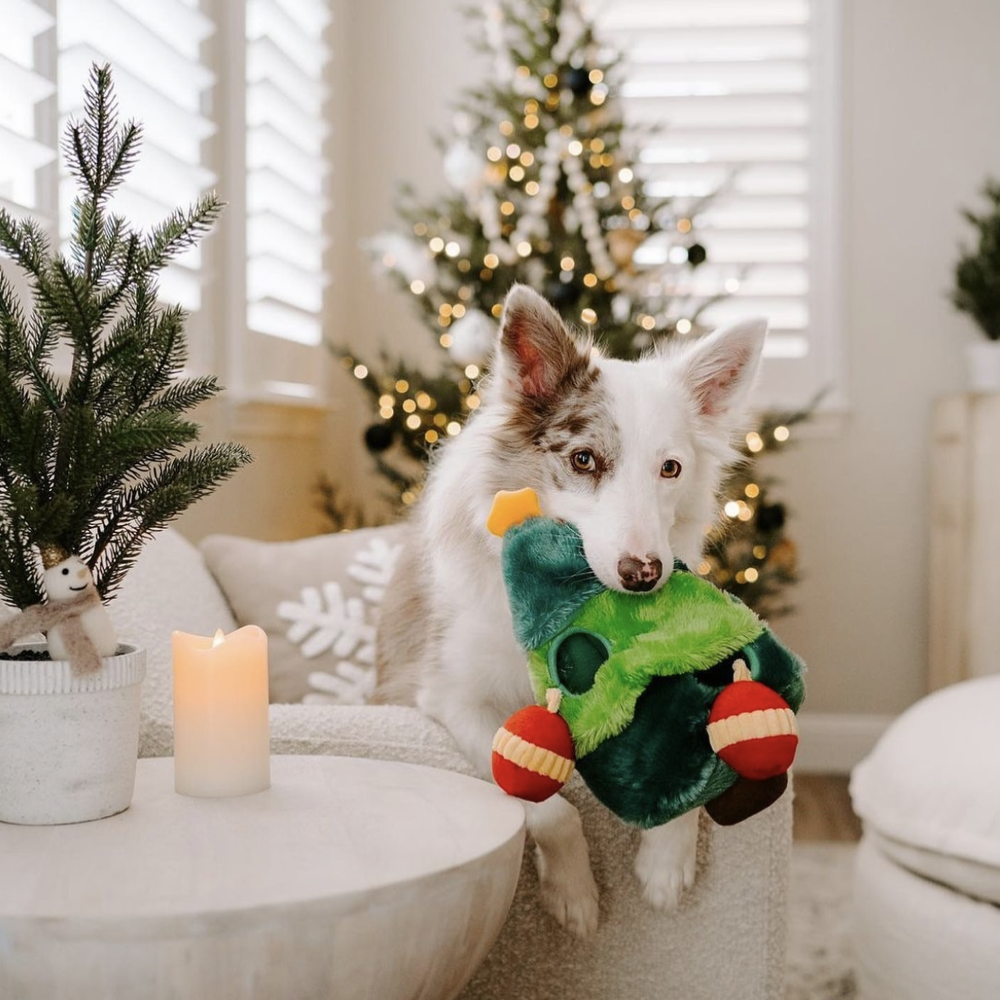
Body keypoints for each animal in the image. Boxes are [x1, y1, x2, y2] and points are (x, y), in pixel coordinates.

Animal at [376, 284, 764, 936]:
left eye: (671, 468)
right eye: (584, 460)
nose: (644, 575)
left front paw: (665, 863)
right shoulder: (451, 698)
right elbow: (549, 809)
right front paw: (575, 895)